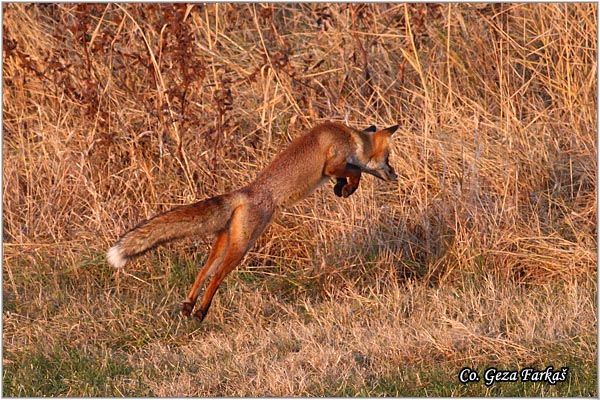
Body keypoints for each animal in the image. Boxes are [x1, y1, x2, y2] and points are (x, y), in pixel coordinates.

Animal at [108, 122, 398, 322]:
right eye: (388, 158)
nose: (395, 175)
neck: (350, 136)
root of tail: (244, 192)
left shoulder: (335, 168)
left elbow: (351, 174)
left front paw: (341, 189)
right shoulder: (333, 164)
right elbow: (357, 170)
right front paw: (349, 188)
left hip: (225, 243)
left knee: (204, 271)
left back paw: (189, 306)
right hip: (242, 247)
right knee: (217, 277)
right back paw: (201, 312)